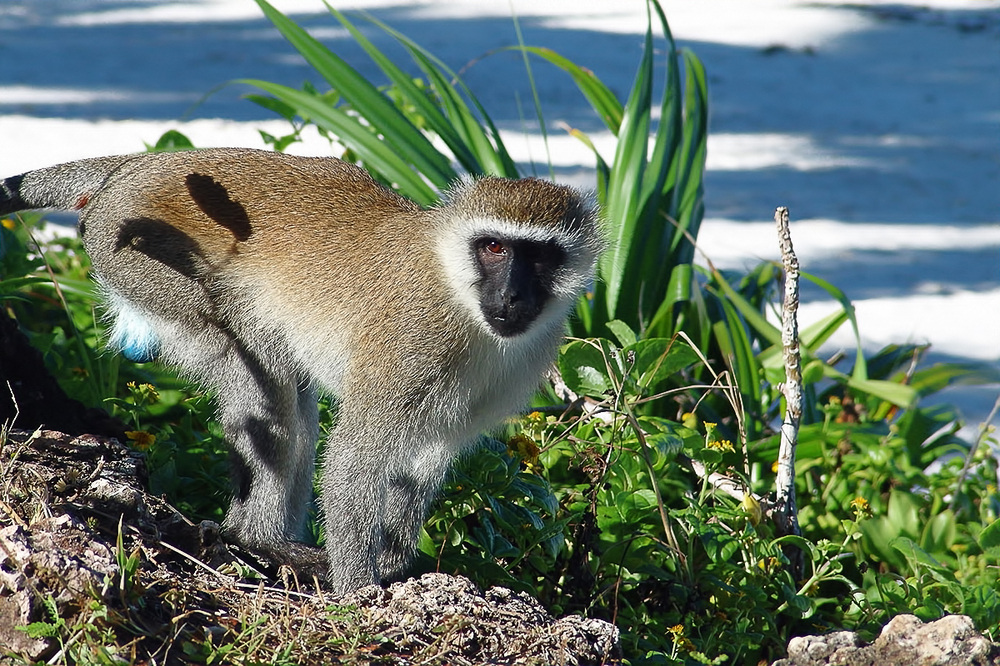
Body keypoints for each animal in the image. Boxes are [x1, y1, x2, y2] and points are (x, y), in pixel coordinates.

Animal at [0, 147, 604, 592]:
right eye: (494, 247)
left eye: (540, 257)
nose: (513, 296)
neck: (462, 297)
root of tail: (145, 165)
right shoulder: (410, 347)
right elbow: (354, 462)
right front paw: (361, 590)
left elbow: (422, 464)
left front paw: (395, 565)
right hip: (138, 258)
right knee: (260, 382)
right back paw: (257, 539)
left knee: (289, 392)